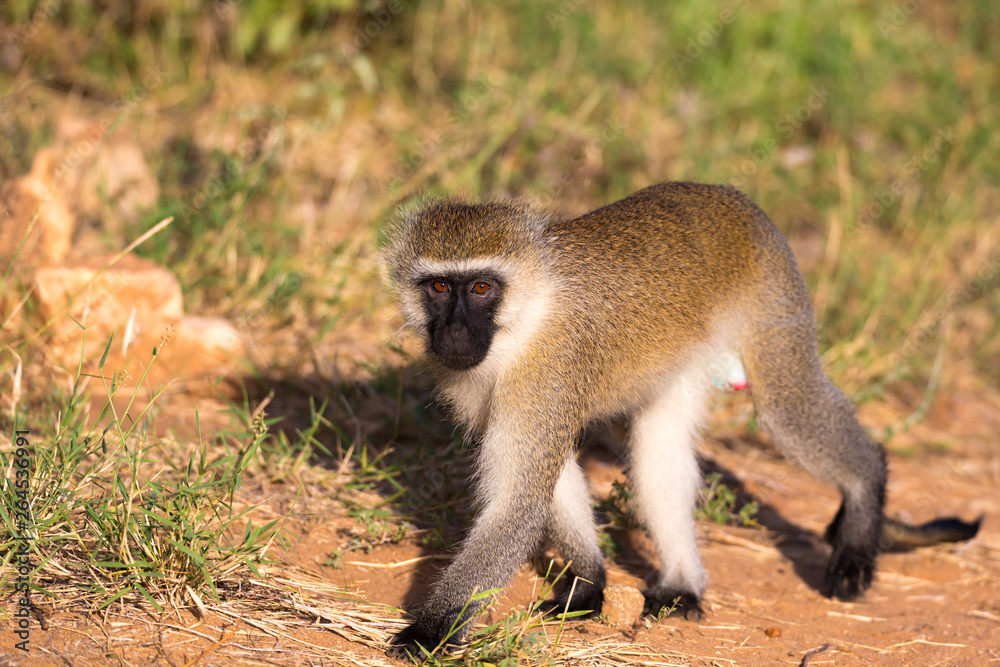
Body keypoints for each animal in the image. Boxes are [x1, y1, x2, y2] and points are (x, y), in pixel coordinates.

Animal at [380, 183, 976, 656]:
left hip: (772, 292)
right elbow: (548, 481)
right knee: (659, 444)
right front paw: (590, 583)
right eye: (439, 287)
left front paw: (433, 629)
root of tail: (721, 193)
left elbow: (516, 504)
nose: (455, 332)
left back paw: (865, 495)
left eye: (481, 288)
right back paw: (683, 585)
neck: (524, 319)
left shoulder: (547, 370)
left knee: (787, 407)